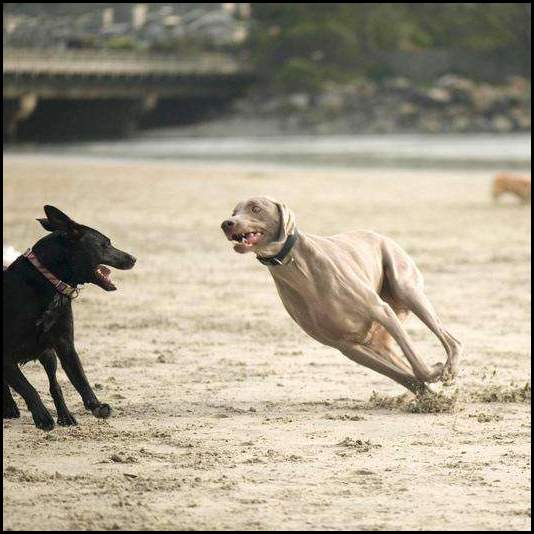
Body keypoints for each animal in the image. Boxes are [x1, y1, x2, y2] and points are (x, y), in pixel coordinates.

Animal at [2, 205, 136, 432]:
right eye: (105, 244)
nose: (133, 258)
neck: (48, 282)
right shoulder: (5, 355)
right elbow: (27, 388)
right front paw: (42, 416)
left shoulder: (64, 344)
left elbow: (80, 379)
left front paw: (96, 406)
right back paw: (12, 408)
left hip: (48, 354)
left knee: (54, 384)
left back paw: (64, 415)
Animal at [222, 197, 460, 394]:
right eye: (234, 211)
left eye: (255, 208)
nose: (226, 223)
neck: (296, 266)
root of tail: (380, 235)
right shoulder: (346, 346)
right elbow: (406, 376)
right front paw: (432, 396)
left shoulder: (381, 311)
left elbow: (417, 366)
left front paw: (437, 372)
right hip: (378, 340)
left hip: (405, 288)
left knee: (452, 340)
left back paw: (451, 366)